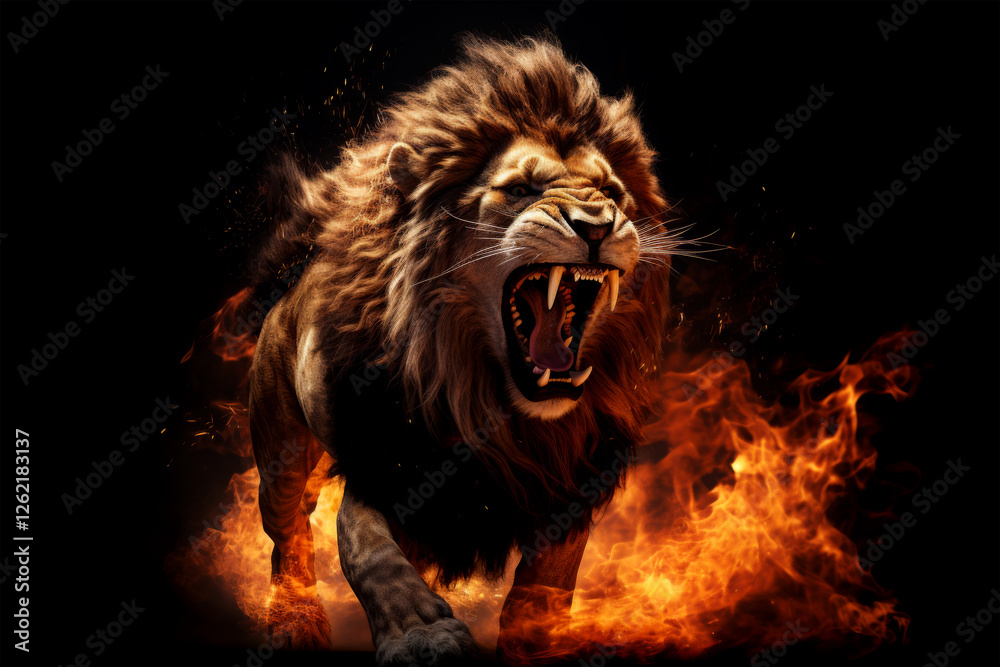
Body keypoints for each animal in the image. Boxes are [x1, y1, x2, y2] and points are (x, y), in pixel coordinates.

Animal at [247, 34, 673, 664]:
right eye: (518, 190)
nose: (597, 224)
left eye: (613, 194)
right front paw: (420, 633)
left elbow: (551, 575)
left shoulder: (568, 476)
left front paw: (534, 639)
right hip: (280, 454)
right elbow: (363, 544)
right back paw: (293, 619)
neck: (492, 403)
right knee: (289, 534)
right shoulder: (389, 466)